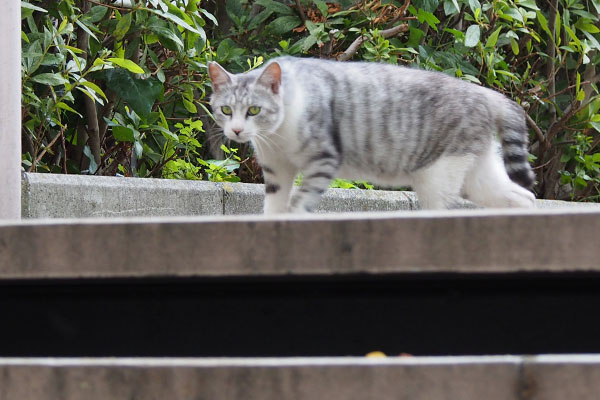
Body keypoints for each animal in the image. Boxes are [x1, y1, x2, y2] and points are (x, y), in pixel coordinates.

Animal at [209, 56, 536, 214]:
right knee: (525, 197)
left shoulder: (323, 161)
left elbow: (298, 202)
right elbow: (274, 207)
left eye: (253, 110)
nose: (236, 130)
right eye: (226, 109)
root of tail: (485, 93)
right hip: (477, 175)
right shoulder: (277, 170)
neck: (276, 135)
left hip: (438, 177)